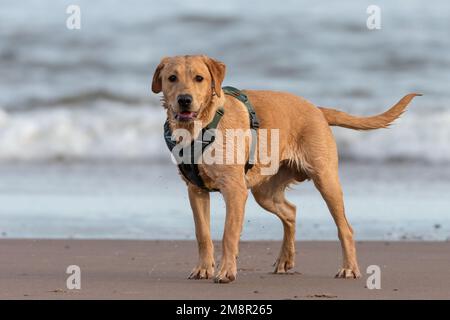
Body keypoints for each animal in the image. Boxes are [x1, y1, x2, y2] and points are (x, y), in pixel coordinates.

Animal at [151, 54, 418, 282]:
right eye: (172, 78)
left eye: (199, 78)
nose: (184, 100)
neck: (200, 129)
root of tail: (317, 109)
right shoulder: (195, 190)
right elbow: (203, 234)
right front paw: (204, 269)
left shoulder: (235, 190)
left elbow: (229, 234)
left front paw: (226, 271)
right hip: (264, 192)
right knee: (291, 212)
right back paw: (285, 260)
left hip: (326, 180)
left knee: (345, 228)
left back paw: (349, 268)